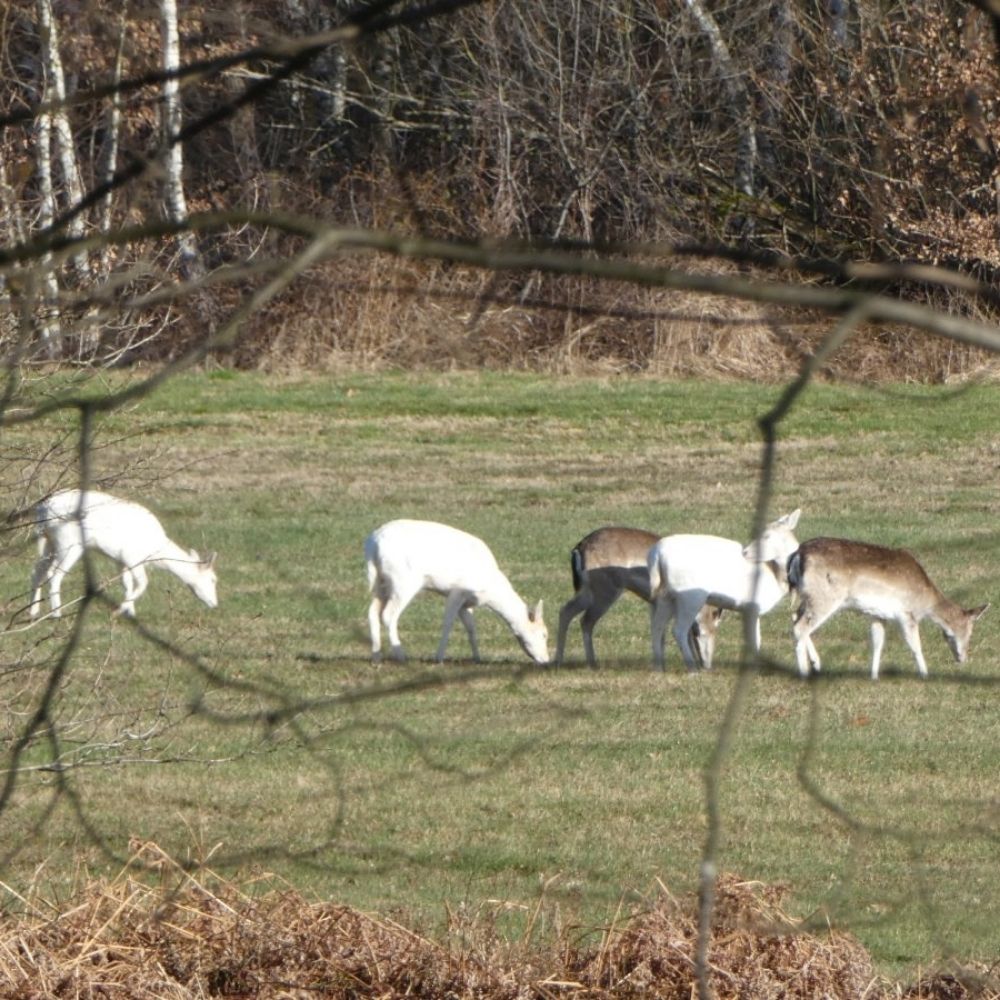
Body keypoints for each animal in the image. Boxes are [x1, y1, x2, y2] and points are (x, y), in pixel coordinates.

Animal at [29, 490, 219, 620]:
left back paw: (33, 611)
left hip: (46, 540)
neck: (156, 552)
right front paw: (119, 611)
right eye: (213, 579)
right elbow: (142, 583)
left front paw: (131, 613)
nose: (215, 604)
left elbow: (126, 584)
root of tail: (43, 508)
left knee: (38, 572)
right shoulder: (133, 558)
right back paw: (57, 613)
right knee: (54, 574)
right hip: (68, 543)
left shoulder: (120, 560)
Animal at [362, 524, 548, 664]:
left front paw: (477, 658)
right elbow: (448, 623)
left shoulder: (466, 603)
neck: (490, 593)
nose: (545, 660)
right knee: (388, 615)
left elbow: (471, 627)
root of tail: (373, 545)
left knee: (372, 612)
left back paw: (376, 657)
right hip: (403, 582)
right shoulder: (456, 592)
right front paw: (438, 659)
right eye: (544, 634)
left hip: (381, 583)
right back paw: (401, 655)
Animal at [552, 528, 724, 668]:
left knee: (565, 611)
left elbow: (659, 633)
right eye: (700, 632)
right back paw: (592, 664)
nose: (706, 665)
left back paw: (558, 661)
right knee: (585, 621)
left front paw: (660, 667)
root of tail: (580, 547)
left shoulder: (654, 604)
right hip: (605, 593)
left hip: (587, 592)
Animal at [648, 508, 804, 672]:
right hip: (690, 597)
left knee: (657, 627)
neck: (774, 574)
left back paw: (659, 668)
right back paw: (693, 670)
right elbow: (756, 640)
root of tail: (656, 555)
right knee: (678, 630)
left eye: (767, 536)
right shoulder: (753, 607)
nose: (745, 552)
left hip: (666, 595)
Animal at [788, 540, 992, 680]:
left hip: (807, 596)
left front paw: (874, 676)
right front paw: (925, 674)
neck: (925, 602)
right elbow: (915, 645)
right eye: (970, 632)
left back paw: (816, 664)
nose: (963, 658)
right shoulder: (906, 614)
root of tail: (798, 554)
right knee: (800, 627)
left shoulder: (878, 614)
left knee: (795, 617)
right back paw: (804, 672)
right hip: (824, 597)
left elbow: (878, 642)